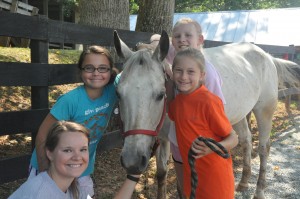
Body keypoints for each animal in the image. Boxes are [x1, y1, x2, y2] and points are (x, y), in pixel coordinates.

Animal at [113, 29, 300, 199]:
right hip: (238, 115)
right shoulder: (161, 138)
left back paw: (259, 191)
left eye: (160, 94)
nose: (132, 161)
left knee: (263, 148)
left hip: (264, 111)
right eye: (118, 94)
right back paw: (243, 182)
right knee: (246, 139)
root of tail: (267, 56)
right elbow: (161, 174)